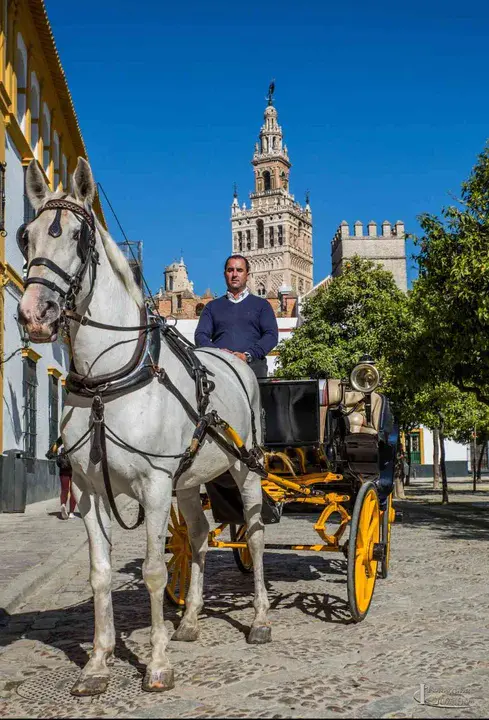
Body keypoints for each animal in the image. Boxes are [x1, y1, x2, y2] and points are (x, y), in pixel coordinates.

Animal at [18, 159, 270, 696]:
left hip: (246, 469)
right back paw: (191, 620)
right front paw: (97, 664)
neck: (107, 383)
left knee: (256, 534)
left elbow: (154, 572)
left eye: (79, 237)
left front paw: (156, 663)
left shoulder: (154, 485)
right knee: (199, 535)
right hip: (190, 480)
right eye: (26, 236)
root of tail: (234, 360)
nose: (34, 314)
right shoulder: (89, 492)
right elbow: (100, 574)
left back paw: (260, 618)